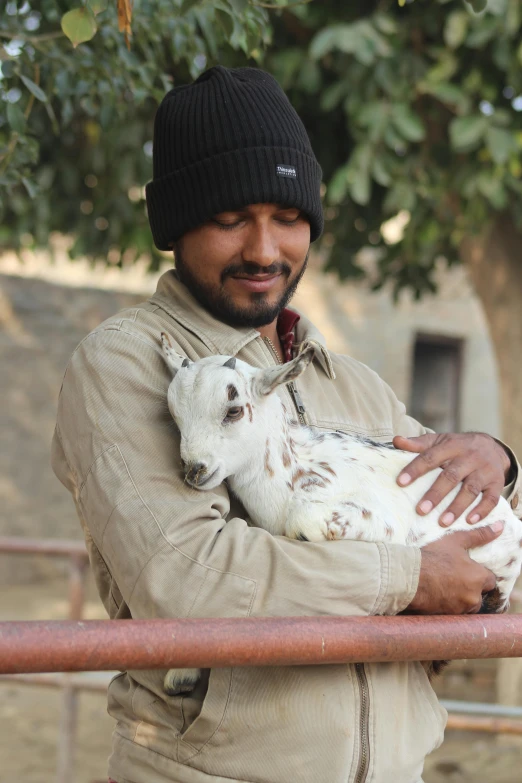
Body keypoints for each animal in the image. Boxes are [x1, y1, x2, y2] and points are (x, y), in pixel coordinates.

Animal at [159, 334, 520, 696]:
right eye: (175, 416)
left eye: (233, 411)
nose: (194, 469)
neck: (294, 469)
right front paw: (182, 672)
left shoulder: (383, 520)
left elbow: (303, 520)